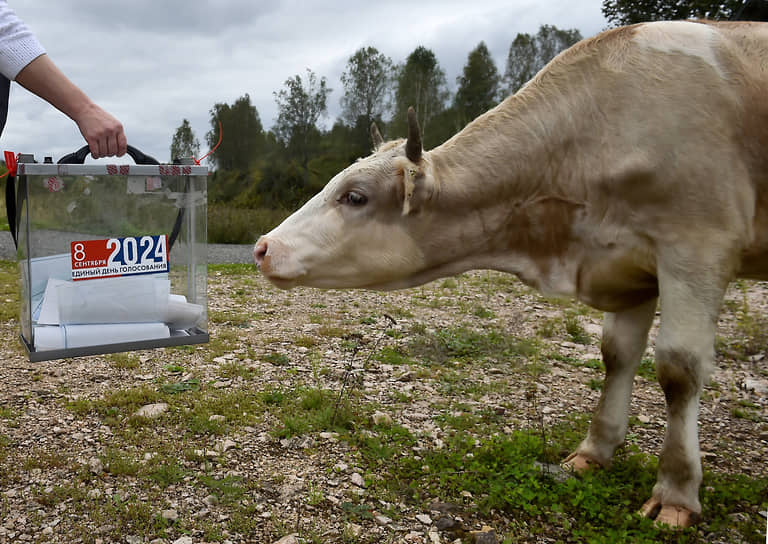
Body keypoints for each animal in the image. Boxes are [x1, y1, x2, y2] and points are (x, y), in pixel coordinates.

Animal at [256, 21, 768, 528]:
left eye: (356, 197)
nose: (263, 248)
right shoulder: (626, 266)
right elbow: (617, 355)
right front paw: (593, 452)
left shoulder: (697, 246)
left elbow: (678, 370)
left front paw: (677, 492)